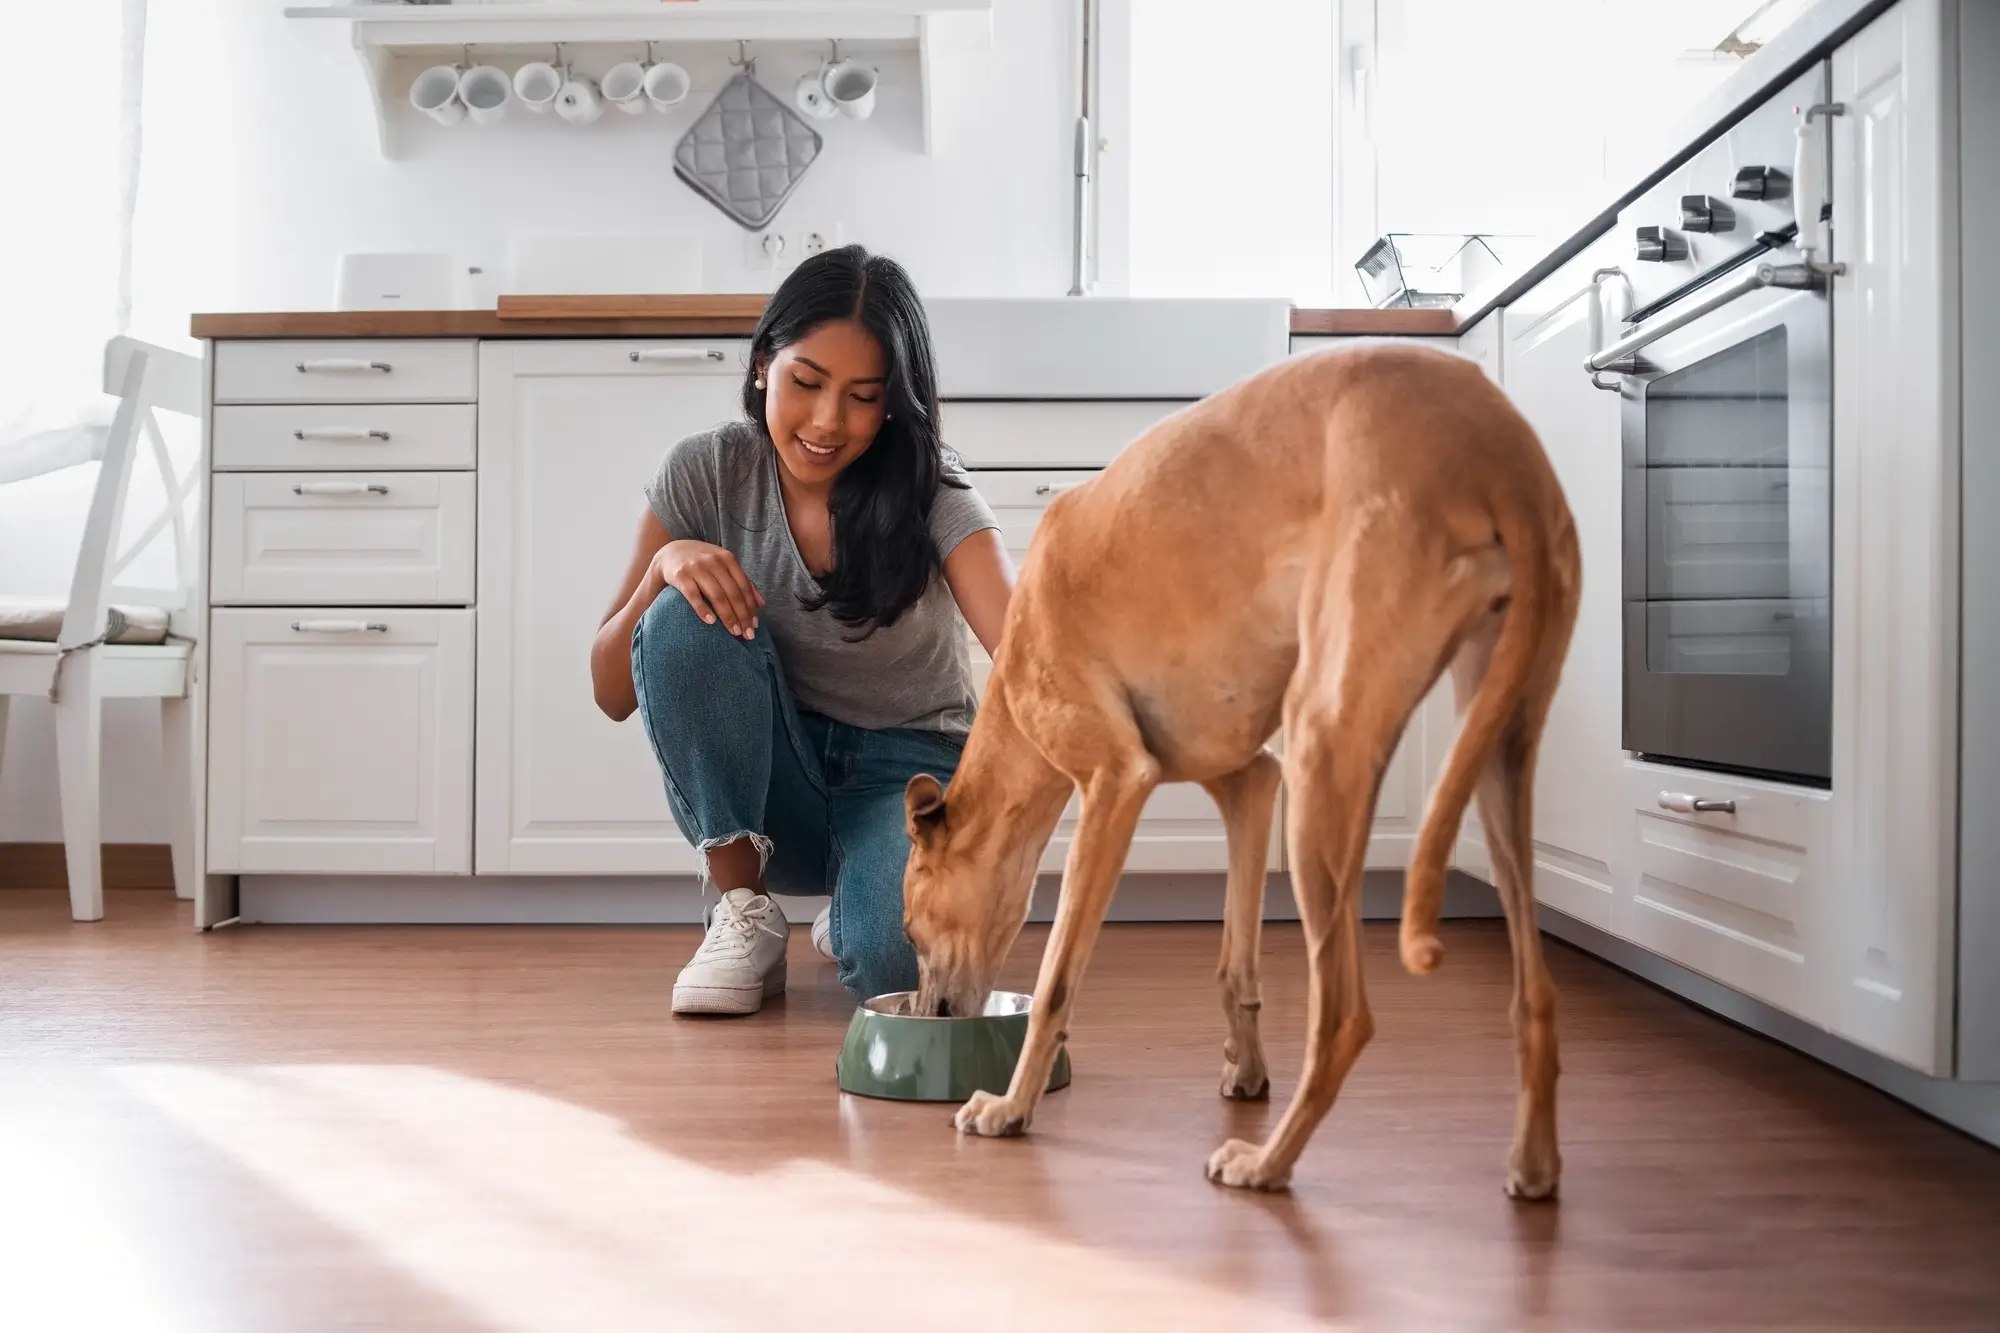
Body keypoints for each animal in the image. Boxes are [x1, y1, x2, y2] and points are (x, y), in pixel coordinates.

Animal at [904, 342, 1576, 1192]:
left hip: (1326, 753)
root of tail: (1499, 450)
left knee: (1345, 1016)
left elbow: (1058, 978)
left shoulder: (1116, 783)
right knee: (1535, 990)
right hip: (1495, 752)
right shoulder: (1251, 784)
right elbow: (1235, 963)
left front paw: (1010, 1108)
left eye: (910, 925)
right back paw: (1533, 1162)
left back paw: (1265, 1161)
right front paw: (1245, 1069)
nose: (927, 1015)